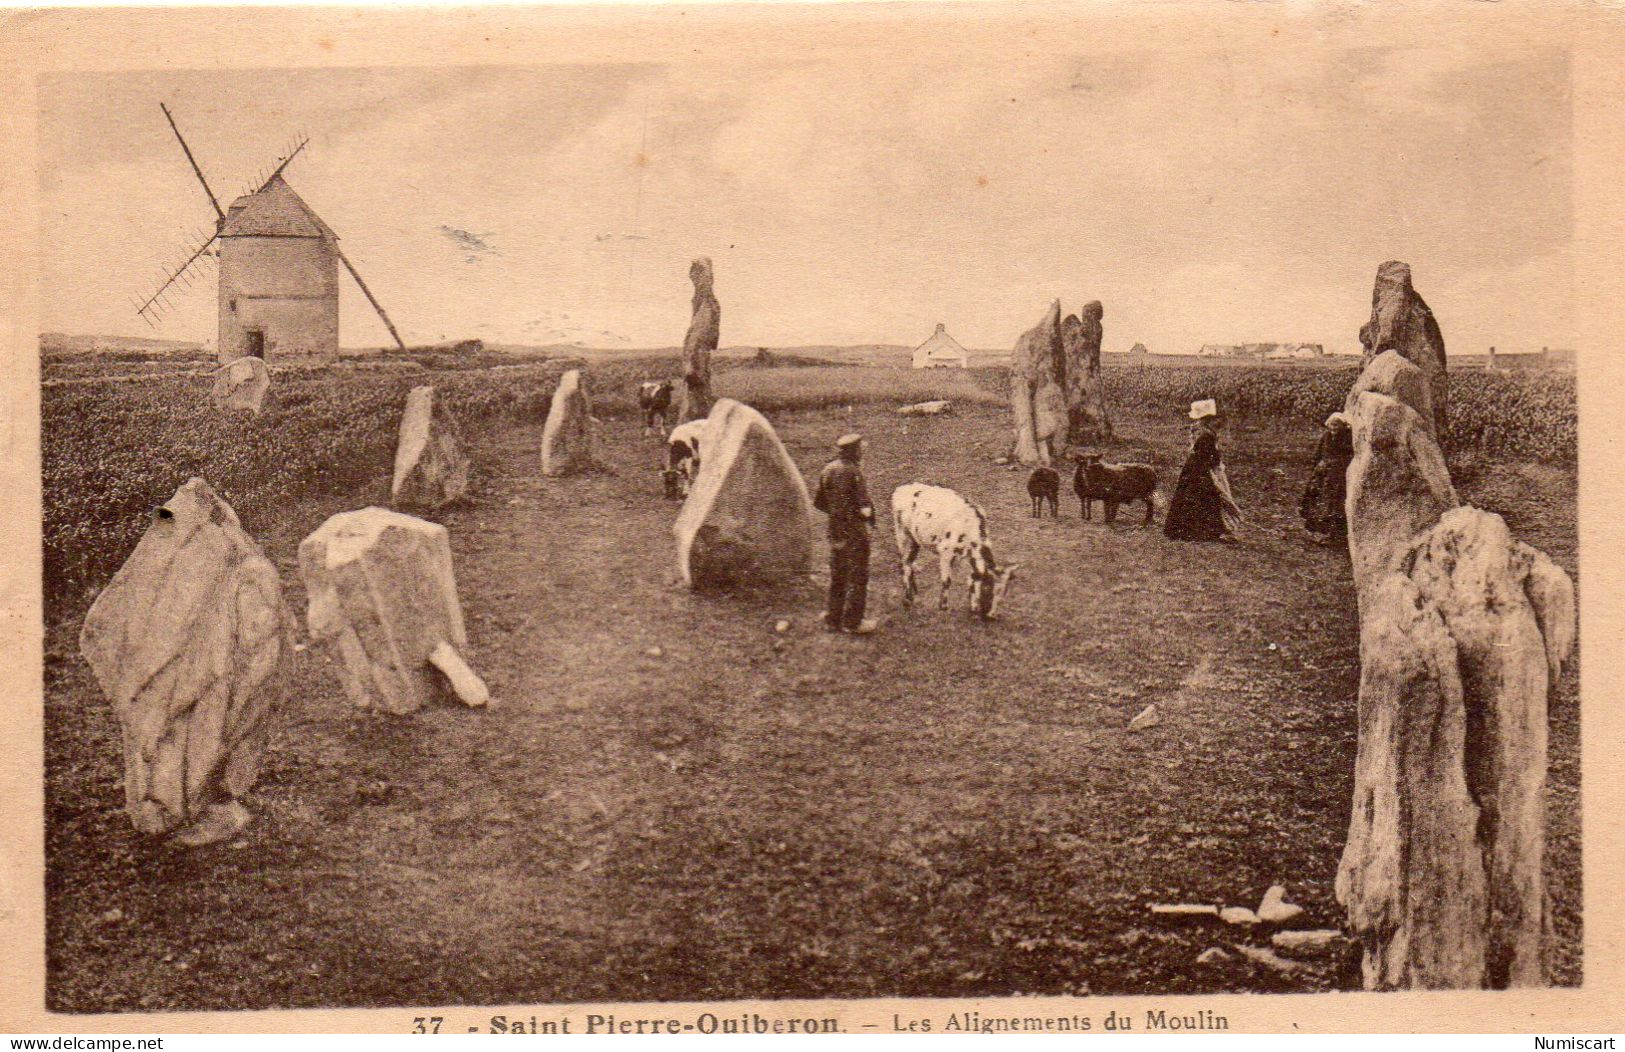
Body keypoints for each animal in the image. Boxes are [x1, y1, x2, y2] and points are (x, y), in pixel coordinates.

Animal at [890, 484, 1014, 621]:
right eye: (988, 588)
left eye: (1003, 593)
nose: (992, 616)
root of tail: (902, 488)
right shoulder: (946, 552)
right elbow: (947, 581)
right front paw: (944, 607)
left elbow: (971, 580)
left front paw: (972, 609)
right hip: (902, 534)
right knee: (904, 565)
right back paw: (908, 600)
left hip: (915, 539)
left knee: (909, 563)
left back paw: (915, 596)